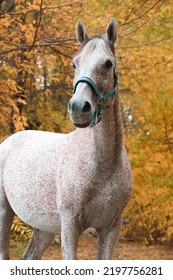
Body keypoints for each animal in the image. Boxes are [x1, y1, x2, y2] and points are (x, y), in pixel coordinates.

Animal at [0, 19, 132, 260]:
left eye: (108, 63)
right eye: (74, 64)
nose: (79, 108)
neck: (102, 165)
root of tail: (9, 142)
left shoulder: (111, 228)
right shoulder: (70, 226)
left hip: (44, 227)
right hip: (4, 213)